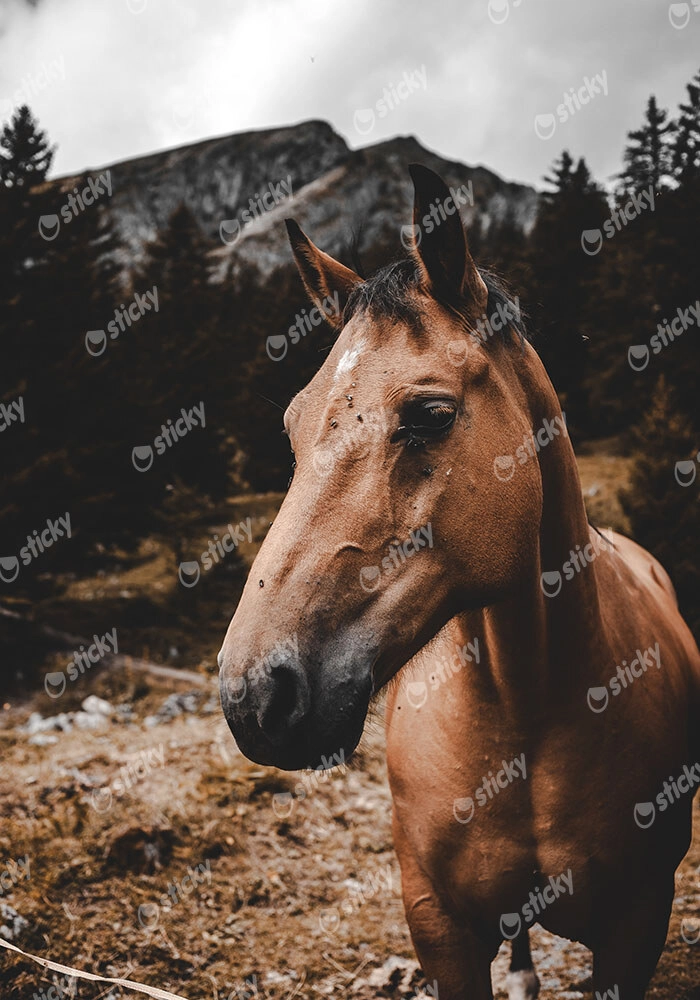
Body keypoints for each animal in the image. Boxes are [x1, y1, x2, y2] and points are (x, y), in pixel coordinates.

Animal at [218, 163, 700, 999]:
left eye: (431, 415)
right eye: (291, 426)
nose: (254, 696)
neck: (527, 709)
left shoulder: (637, 923)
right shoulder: (438, 924)